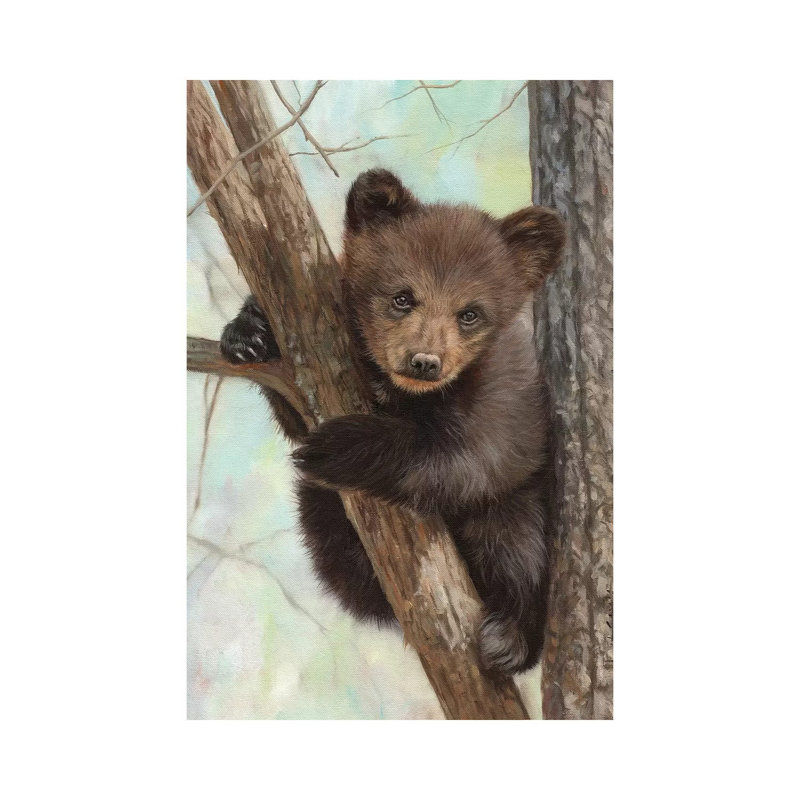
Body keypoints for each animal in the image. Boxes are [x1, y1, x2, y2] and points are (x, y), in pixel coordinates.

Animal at [220, 169, 565, 674]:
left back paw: (508, 637)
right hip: (319, 515)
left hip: (519, 504)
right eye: (403, 297)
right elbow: (295, 397)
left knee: (516, 547)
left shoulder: (502, 397)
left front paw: (339, 445)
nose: (424, 361)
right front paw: (249, 331)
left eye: (470, 313)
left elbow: (463, 462)